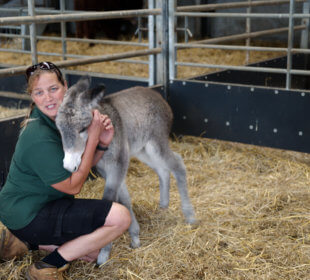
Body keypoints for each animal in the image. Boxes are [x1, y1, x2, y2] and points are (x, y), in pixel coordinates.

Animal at [55, 76, 196, 264]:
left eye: (83, 129)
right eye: (59, 130)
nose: (69, 166)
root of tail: (158, 96)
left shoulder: (118, 165)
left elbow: (109, 201)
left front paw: (103, 253)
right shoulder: (109, 170)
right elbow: (125, 200)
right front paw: (135, 236)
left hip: (156, 144)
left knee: (178, 164)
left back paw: (190, 216)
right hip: (142, 150)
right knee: (163, 170)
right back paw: (164, 205)